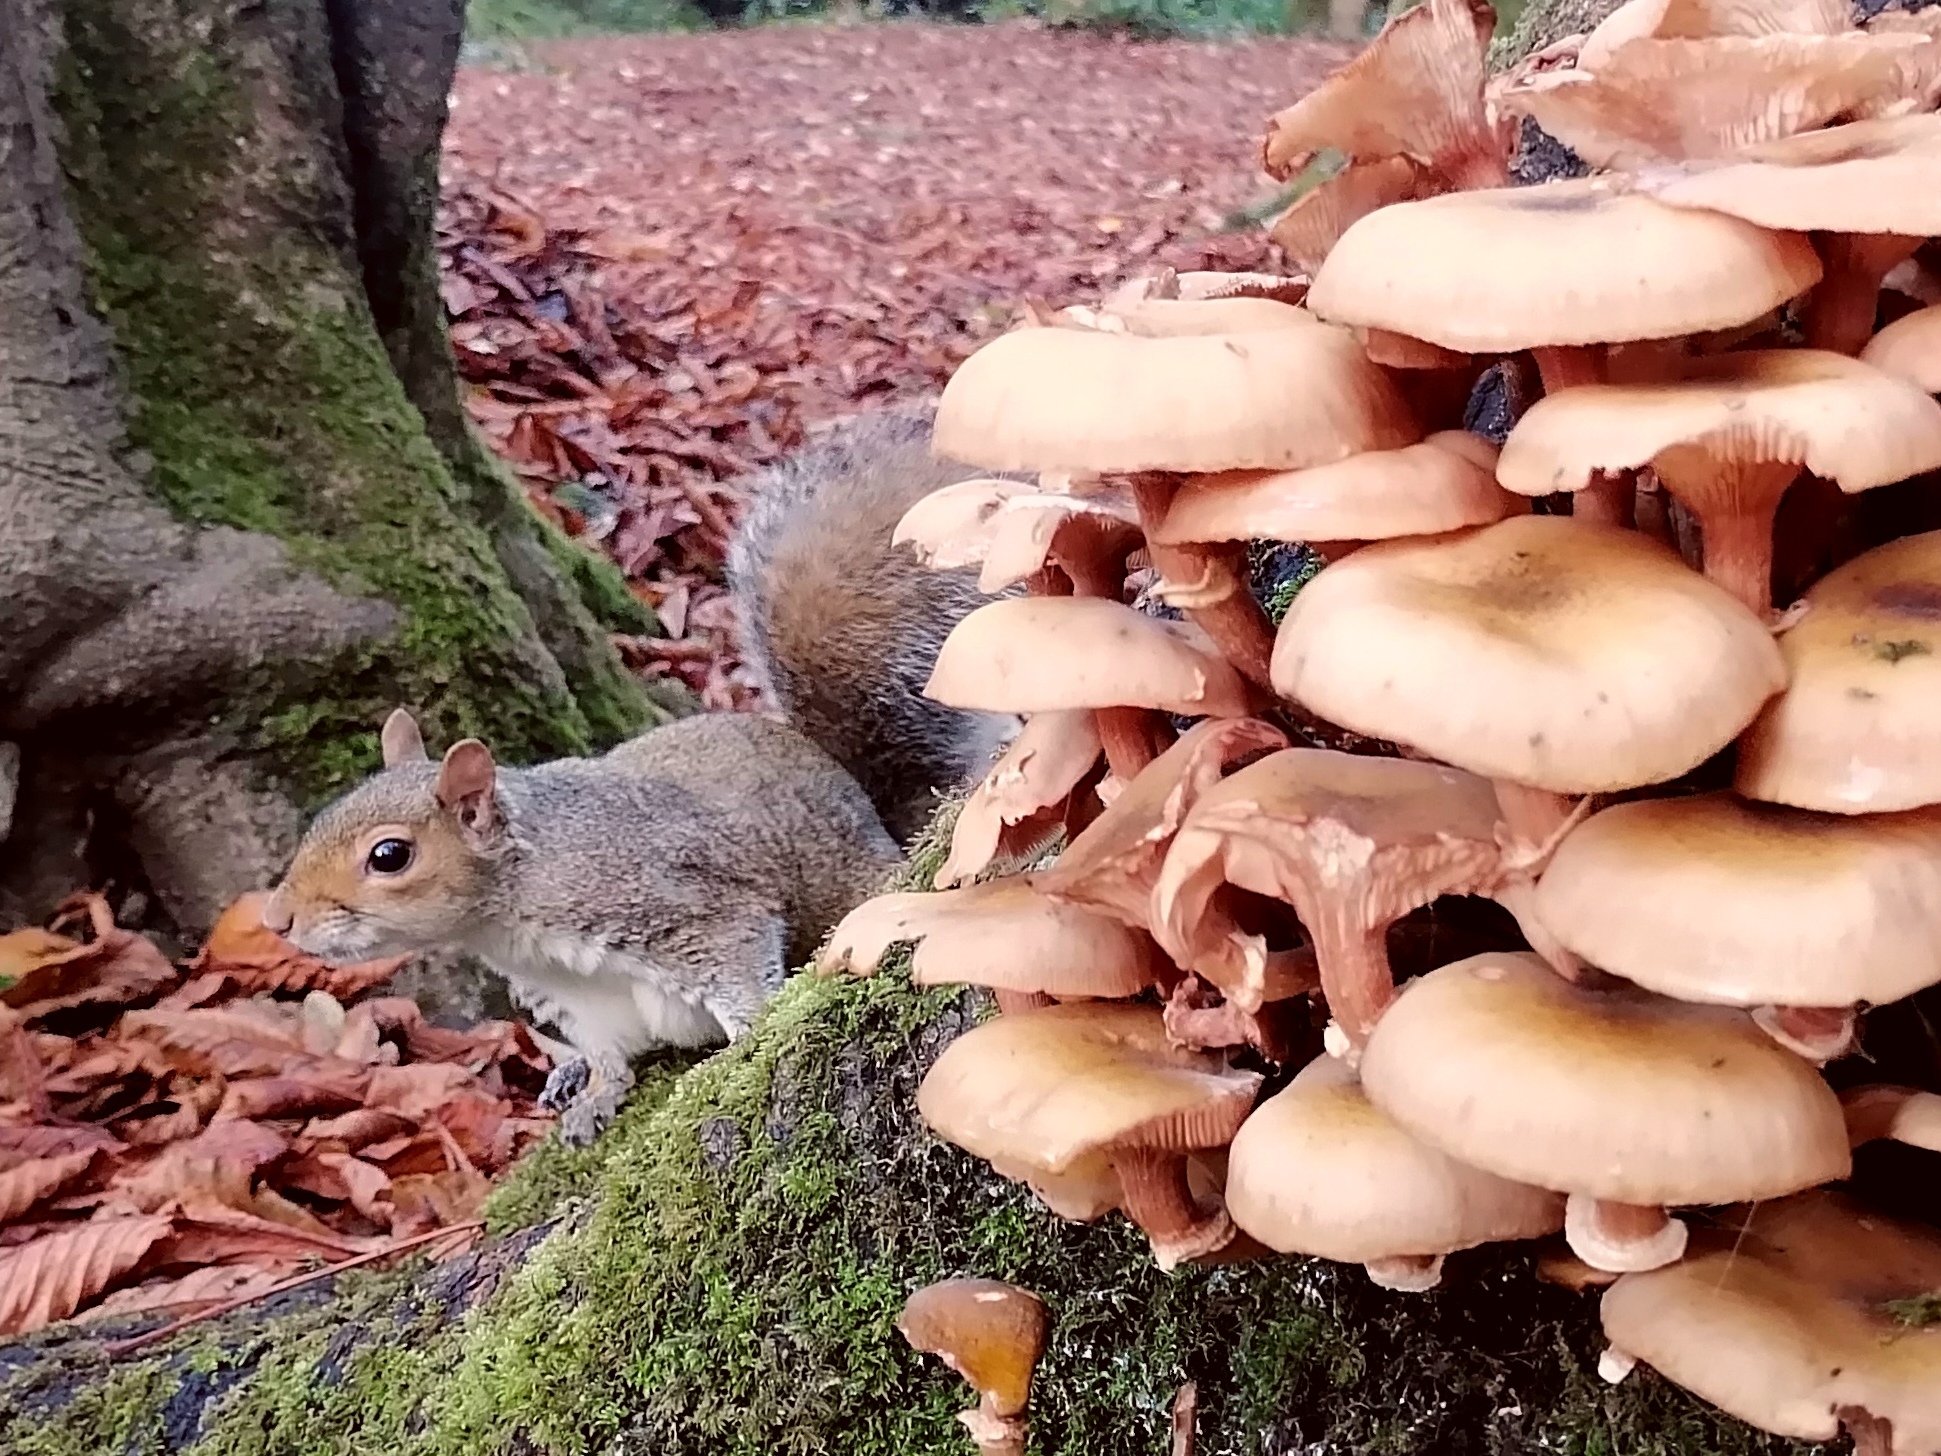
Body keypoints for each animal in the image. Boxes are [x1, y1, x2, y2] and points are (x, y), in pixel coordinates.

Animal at [262, 408, 1014, 1144]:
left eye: (389, 856)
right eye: (321, 817)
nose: (276, 918)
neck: (518, 902)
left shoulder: (688, 908)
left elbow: (743, 978)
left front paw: (745, 1051)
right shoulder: (581, 1000)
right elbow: (606, 1053)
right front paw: (594, 1090)